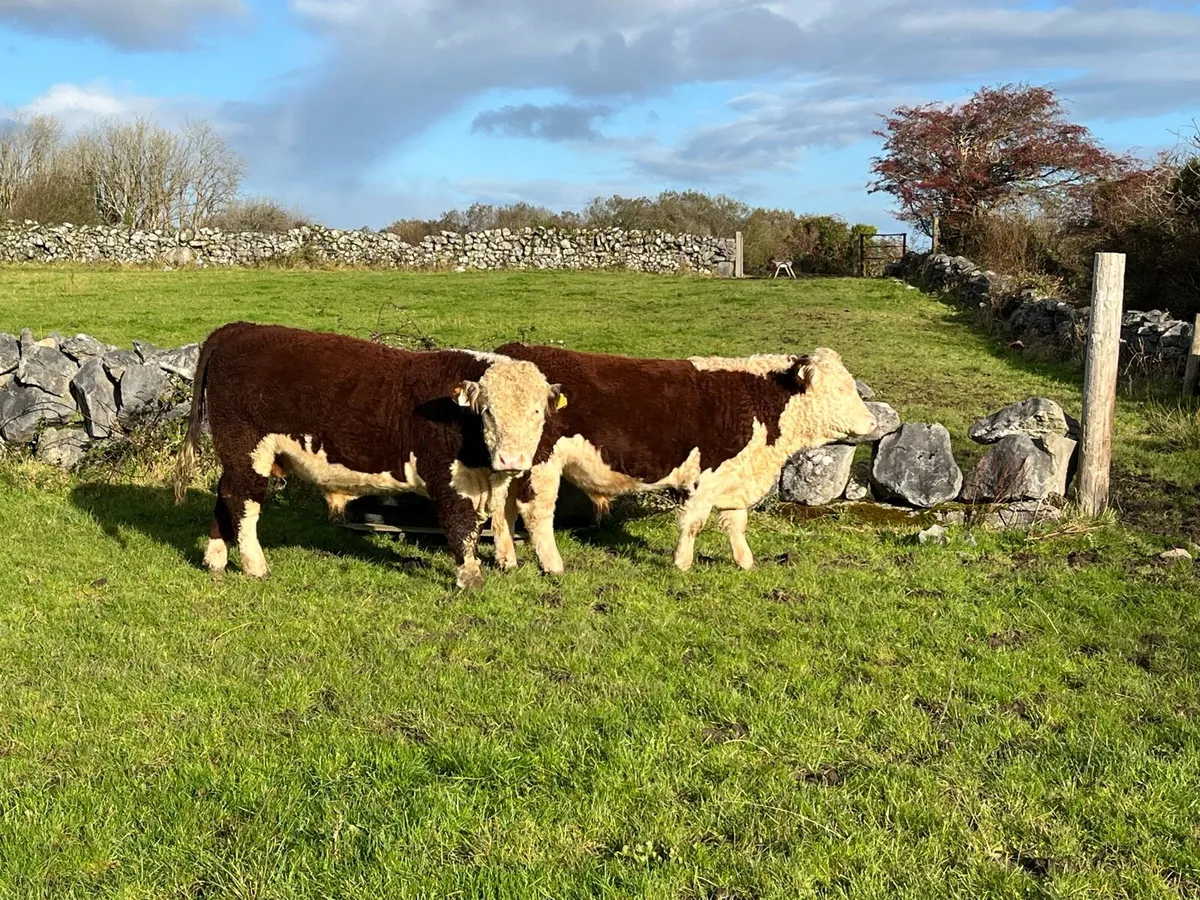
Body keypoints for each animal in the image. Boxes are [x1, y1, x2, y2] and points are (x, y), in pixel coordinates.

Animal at [174, 322, 565, 589]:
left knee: (226, 492)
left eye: (537, 413)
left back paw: (215, 557)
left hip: (237, 453)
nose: (512, 461)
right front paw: (469, 577)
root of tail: (240, 329)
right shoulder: (448, 479)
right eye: (488, 412)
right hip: (247, 447)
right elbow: (461, 526)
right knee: (243, 500)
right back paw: (254, 564)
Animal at [486, 344, 876, 574]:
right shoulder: (707, 476)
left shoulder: (735, 477)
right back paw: (553, 565)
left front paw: (745, 562)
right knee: (536, 513)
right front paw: (683, 564)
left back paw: (508, 560)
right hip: (540, 464)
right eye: (842, 388)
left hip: (514, 464)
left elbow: (736, 524)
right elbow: (694, 523)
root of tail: (513, 351)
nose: (873, 422)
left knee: (502, 508)